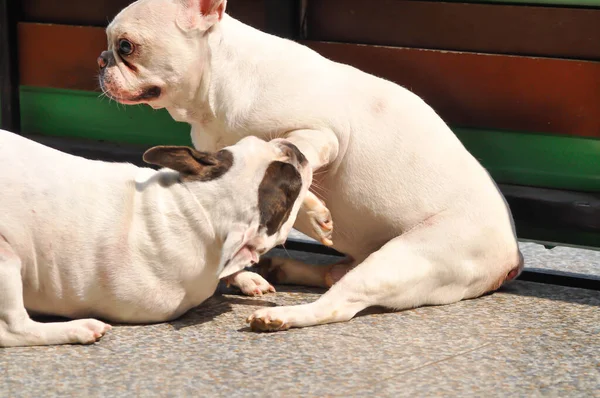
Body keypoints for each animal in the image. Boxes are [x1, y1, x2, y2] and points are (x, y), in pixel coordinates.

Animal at [0, 131, 310, 346]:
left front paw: (244, 277)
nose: (293, 149)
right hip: (6, 259)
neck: (194, 210)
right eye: (292, 188)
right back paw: (77, 329)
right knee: (14, 329)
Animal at [97, 0, 520, 332]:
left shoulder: (323, 134)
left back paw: (283, 316)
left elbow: (297, 163)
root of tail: (512, 259)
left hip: (408, 257)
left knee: (340, 303)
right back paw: (279, 272)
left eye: (126, 46)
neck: (214, 88)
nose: (102, 60)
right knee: (335, 274)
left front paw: (315, 214)